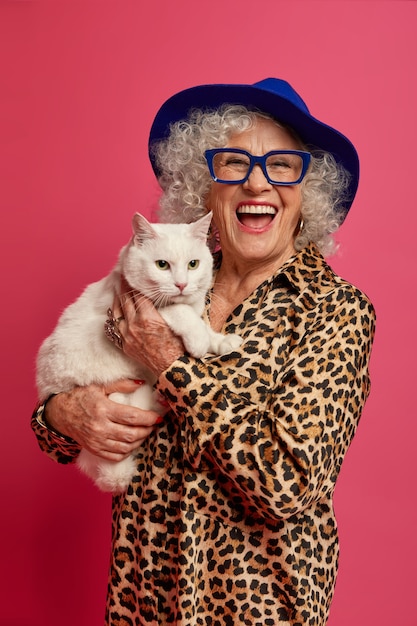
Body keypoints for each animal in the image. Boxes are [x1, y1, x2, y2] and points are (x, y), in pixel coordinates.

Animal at [38, 212, 244, 490]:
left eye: (193, 264)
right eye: (162, 265)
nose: (181, 284)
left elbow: (203, 322)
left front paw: (221, 341)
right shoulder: (141, 305)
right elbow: (181, 311)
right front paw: (199, 339)